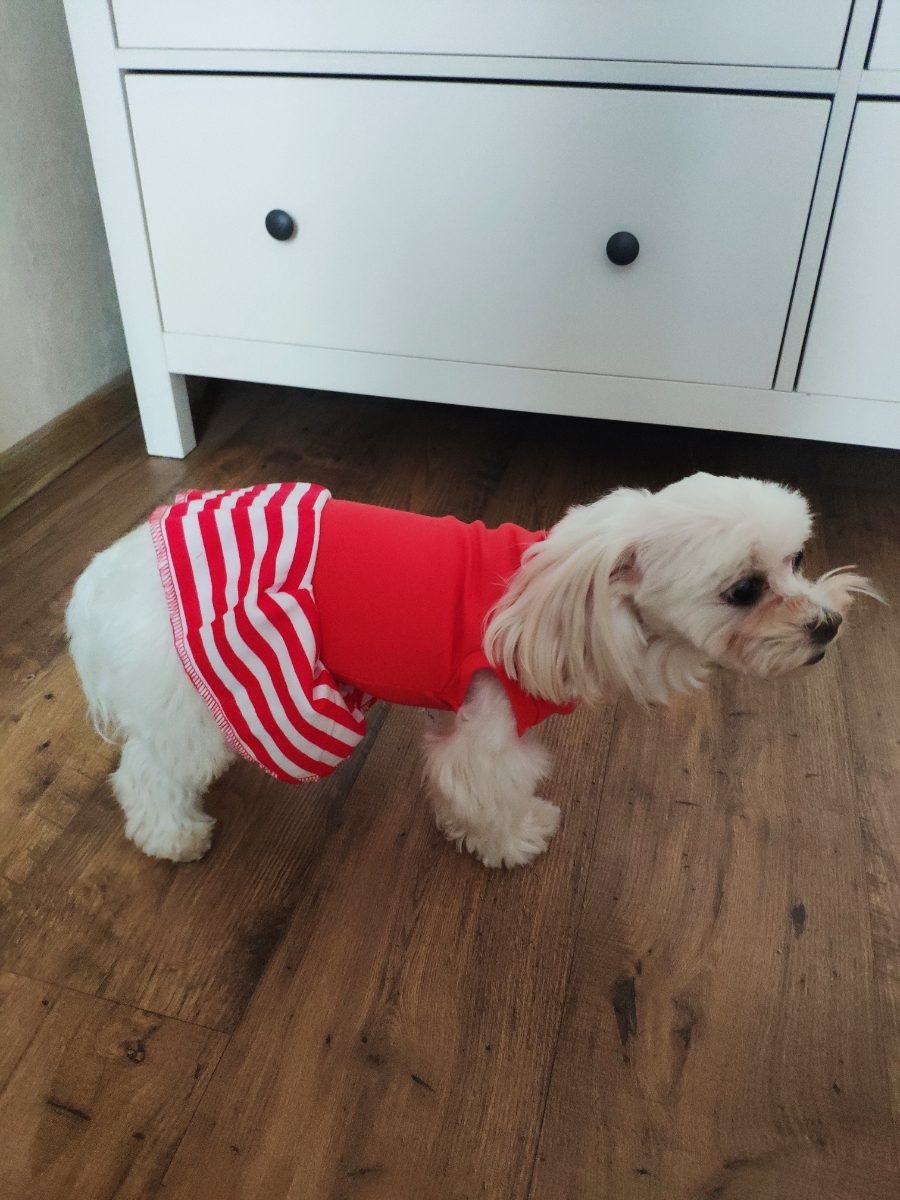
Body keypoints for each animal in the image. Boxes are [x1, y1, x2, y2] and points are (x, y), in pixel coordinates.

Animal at [66, 472, 875, 869]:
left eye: (798, 559)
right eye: (744, 590)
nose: (829, 625)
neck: (554, 597)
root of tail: (104, 582)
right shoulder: (491, 724)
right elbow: (487, 787)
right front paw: (512, 840)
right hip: (198, 700)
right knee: (147, 774)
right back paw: (172, 835)